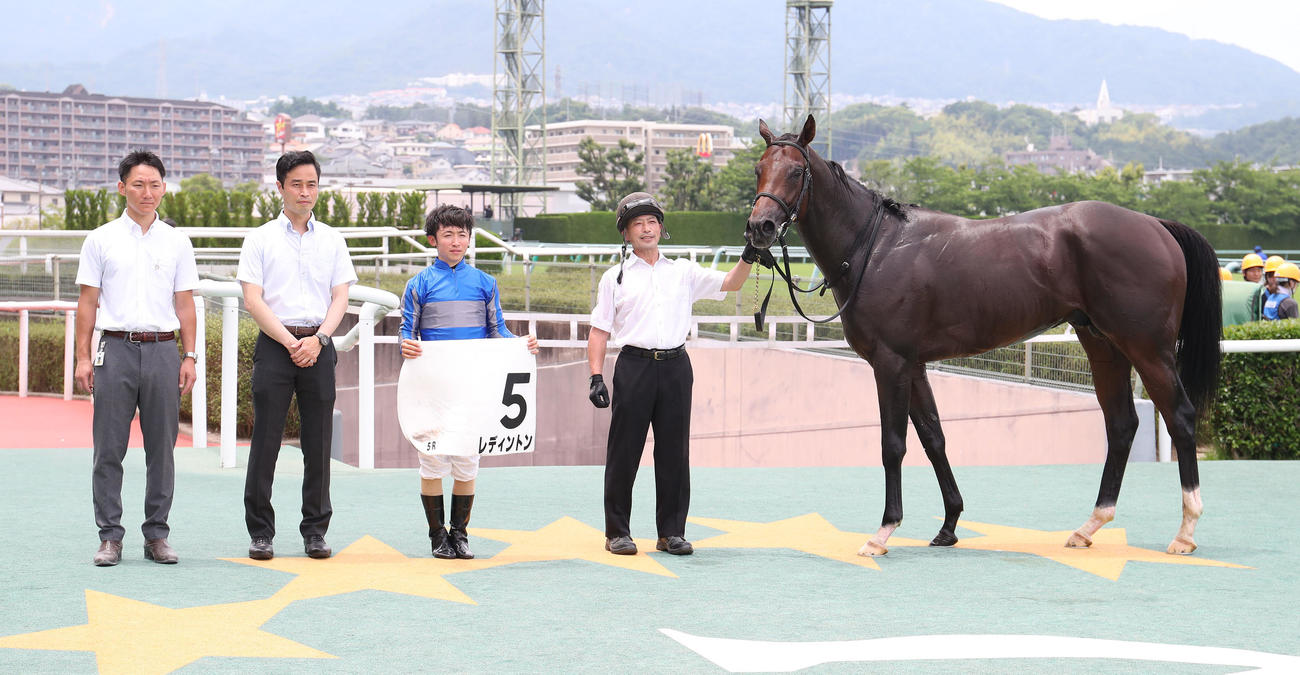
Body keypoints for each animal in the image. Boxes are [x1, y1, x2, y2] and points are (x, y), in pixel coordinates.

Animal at [745, 115, 1222, 557]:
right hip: (1103, 345)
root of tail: (1156, 224)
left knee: (1180, 417)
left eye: (796, 172)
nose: (759, 229)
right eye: (758, 168)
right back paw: (1089, 526)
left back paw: (1185, 532)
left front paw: (883, 531)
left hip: (1147, 348)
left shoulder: (890, 363)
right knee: (1121, 423)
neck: (876, 248)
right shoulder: (914, 365)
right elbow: (934, 438)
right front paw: (949, 525)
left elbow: (893, 444)